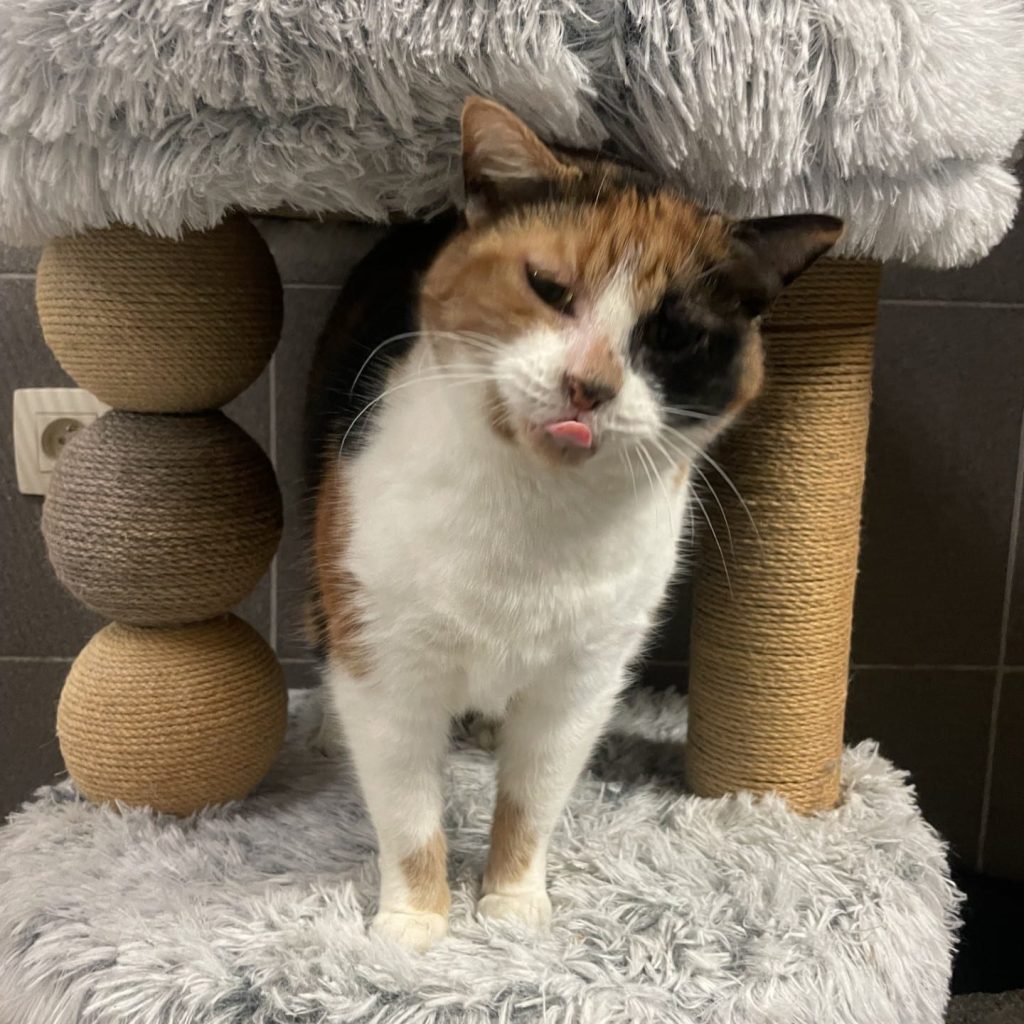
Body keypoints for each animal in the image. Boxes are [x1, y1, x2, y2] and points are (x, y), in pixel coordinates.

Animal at [305, 97, 842, 952]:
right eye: (549, 287)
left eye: (673, 335)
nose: (588, 386)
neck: (537, 517)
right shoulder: (388, 666)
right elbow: (409, 812)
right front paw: (415, 923)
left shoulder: (581, 683)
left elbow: (533, 800)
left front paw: (513, 903)